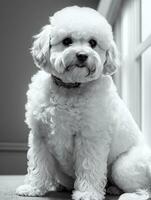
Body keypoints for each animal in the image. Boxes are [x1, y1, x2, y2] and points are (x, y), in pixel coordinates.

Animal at [15, 6, 151, 200]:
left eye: (93, 43)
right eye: (67, 41)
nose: (82, 55)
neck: (69, 88)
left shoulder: (90, 138)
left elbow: (89, 167)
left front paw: (87, 193)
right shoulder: (40, 136)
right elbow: (38, 165)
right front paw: (33, 188)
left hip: (122, 167)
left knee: (146, 189)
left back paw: (128, 195)